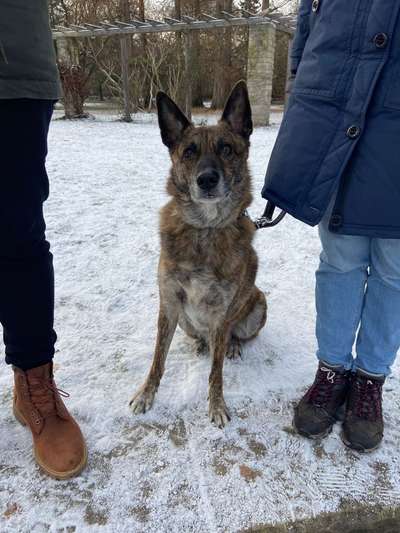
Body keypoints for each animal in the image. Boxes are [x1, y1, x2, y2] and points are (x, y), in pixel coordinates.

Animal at [130, 81, 266, 426]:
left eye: (226, 149)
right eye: (189, 152)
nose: (206, 180)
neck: (205, 230)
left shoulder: (221, 313)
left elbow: (216, 373)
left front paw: (216, 405)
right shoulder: (169, 303)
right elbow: (158, 359)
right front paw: (147, 394)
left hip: (257, 304)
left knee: (232, 337)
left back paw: (232, 347)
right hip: (185, 321)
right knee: (203, 339)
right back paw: (202, 345)